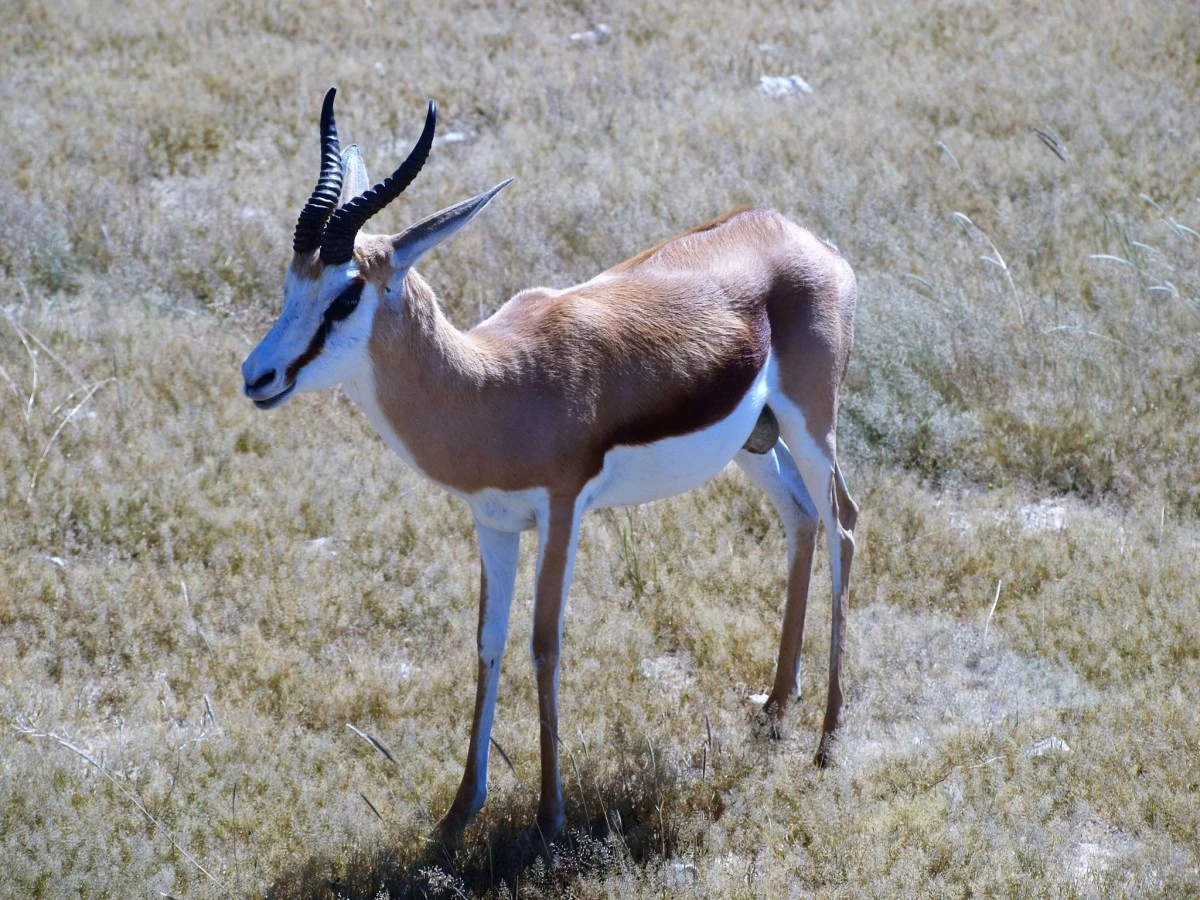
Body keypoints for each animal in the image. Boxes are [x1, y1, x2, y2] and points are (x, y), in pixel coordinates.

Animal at [243, 88, 859, 849]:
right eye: (290, 284)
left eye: (345, 295)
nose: (257, 376)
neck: (494, 386)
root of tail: (800, 235)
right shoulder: (493, 522)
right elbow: (487, 643)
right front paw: (457, 814)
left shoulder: (561, 512)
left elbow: (544, 643)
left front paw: (548, 818)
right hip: (755, 441)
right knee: (802, 519)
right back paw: (775, 709)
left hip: (812, 424)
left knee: (843, 525)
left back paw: (828, 740)